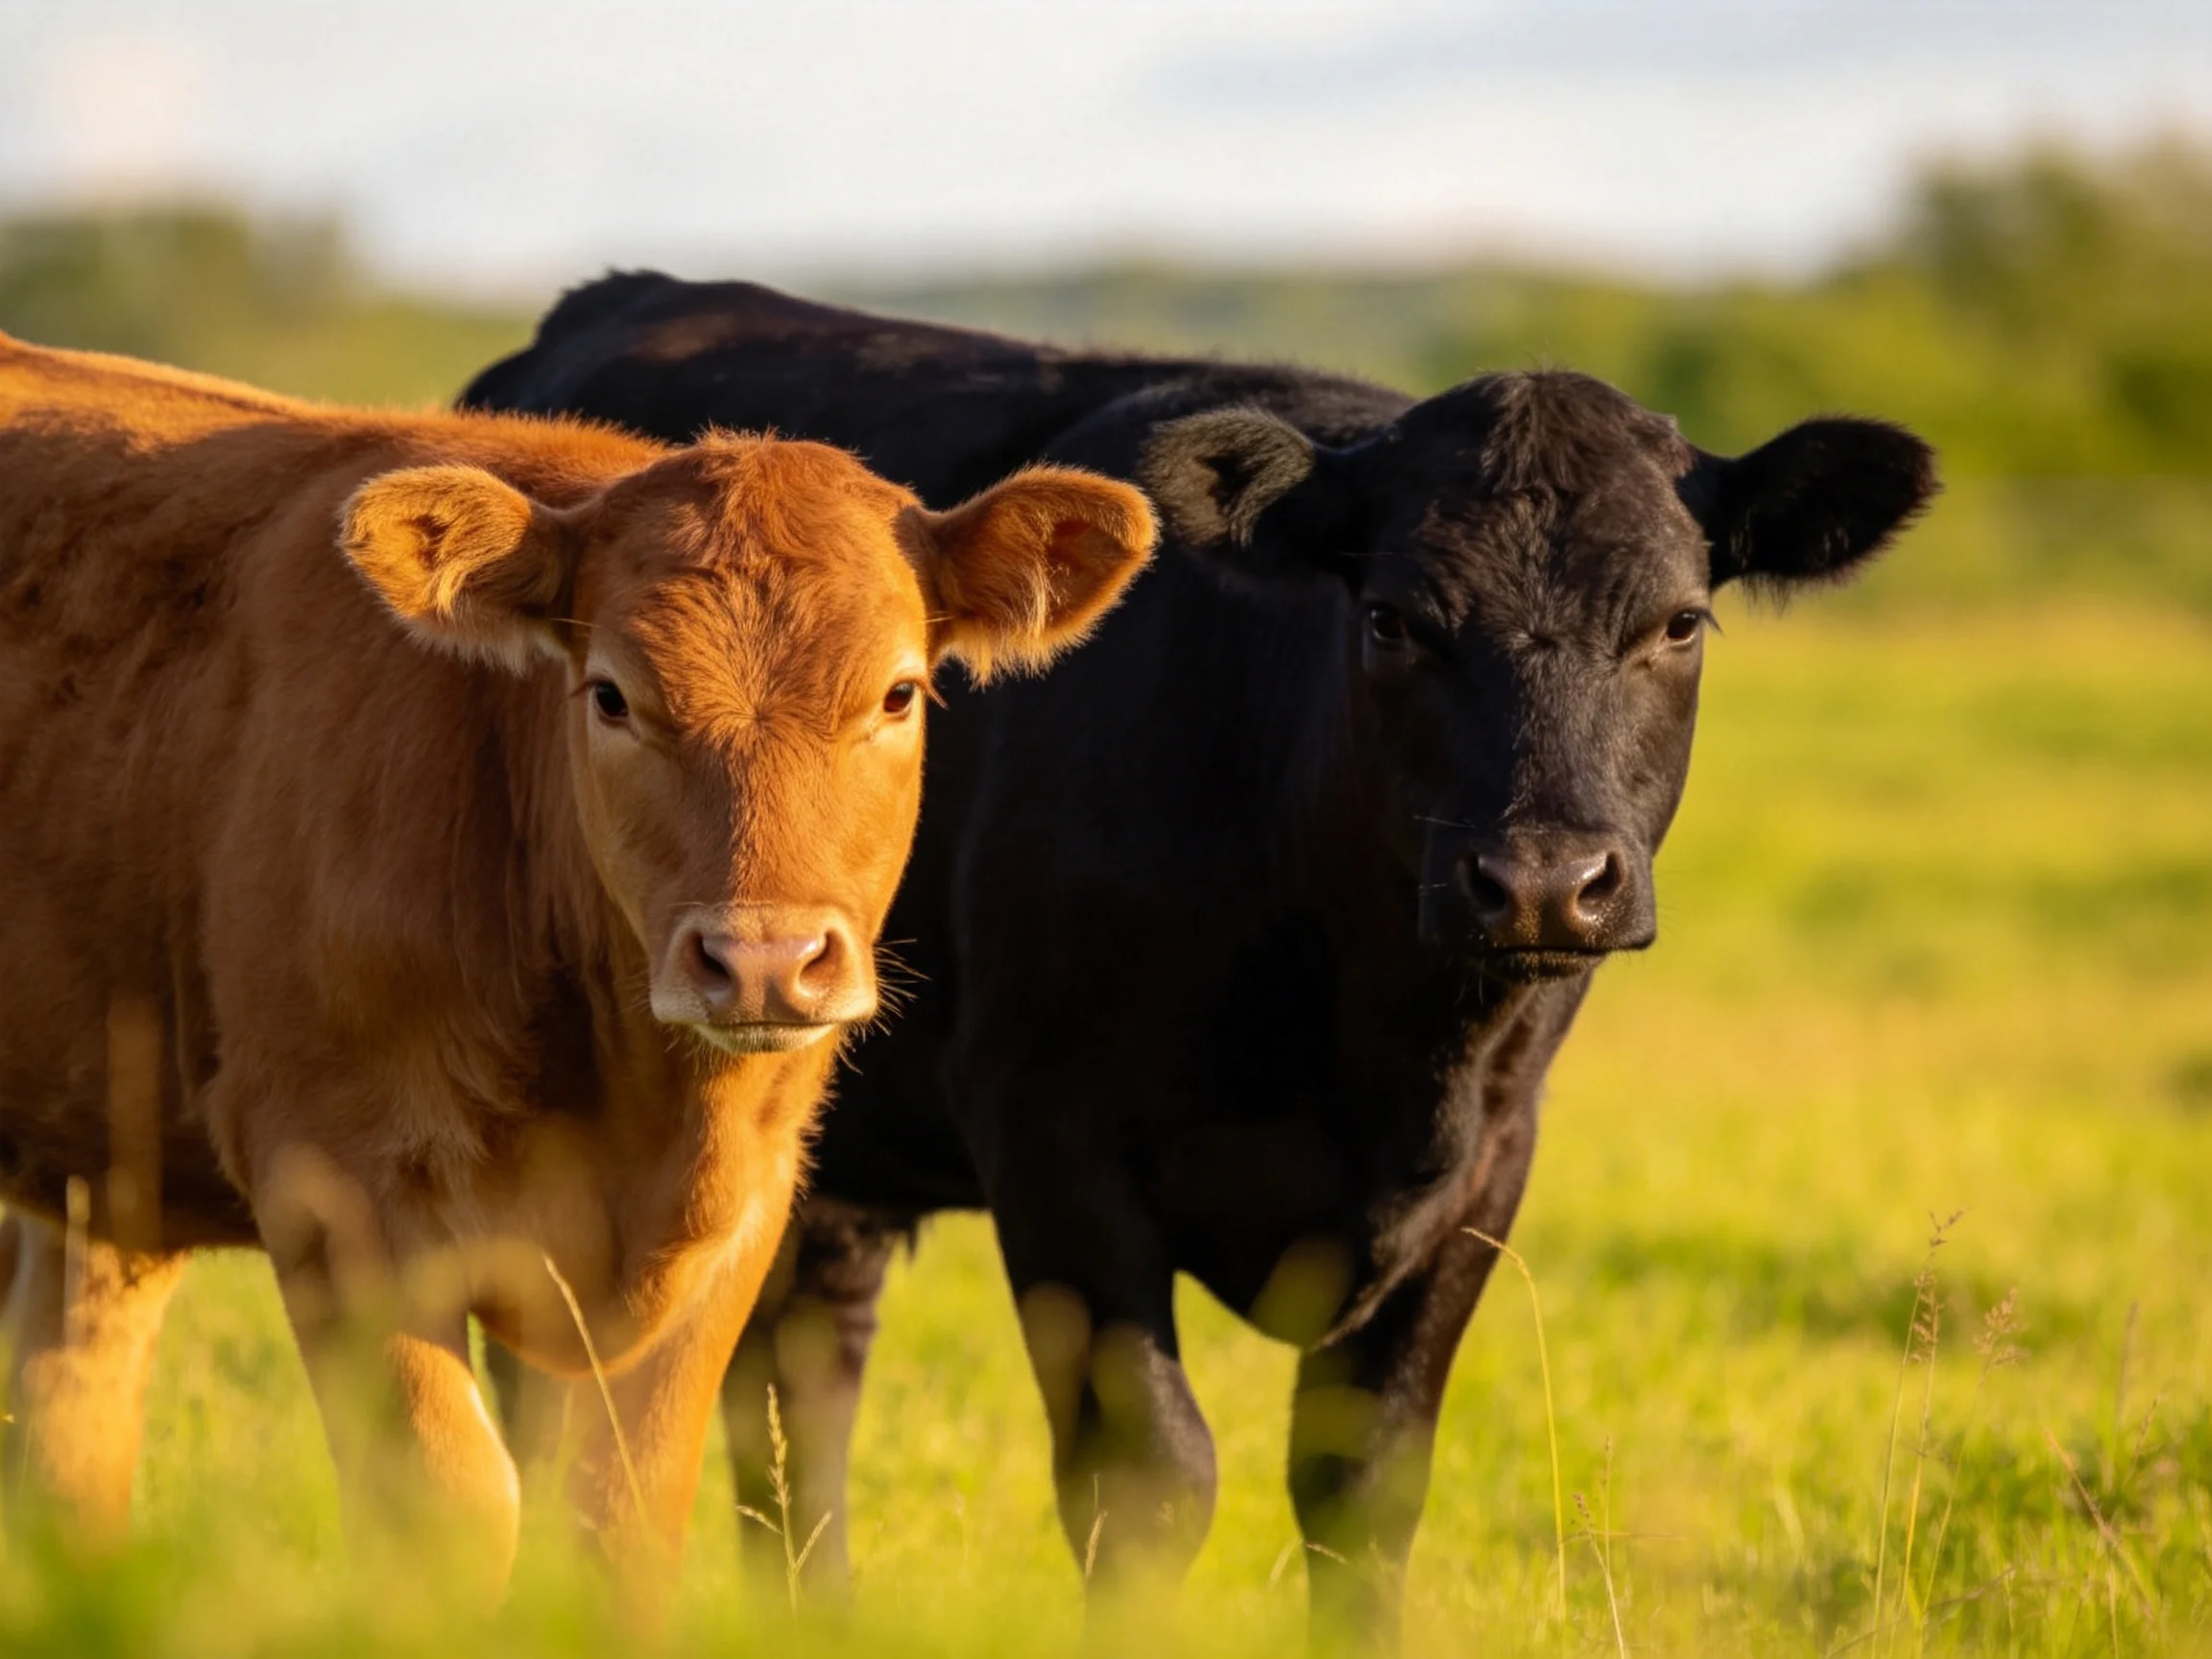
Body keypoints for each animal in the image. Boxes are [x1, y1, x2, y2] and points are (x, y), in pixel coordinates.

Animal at [0, 330, 1153, 1598]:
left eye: (898, 693)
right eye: (611, 695)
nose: (762, 960)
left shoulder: (735, 1221)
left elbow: (618, 1523)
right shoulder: (330, 1181)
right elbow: (447, 1513)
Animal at [461, 274, 1936, 1639]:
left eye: (1679, 622)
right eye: (1393, 619)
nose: (1540, 881)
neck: (1371, 1035)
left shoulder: (1489, 1169)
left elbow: (1363, 1486)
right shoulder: (1057, 1144)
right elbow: (1148, 1481)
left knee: (795, 1380)